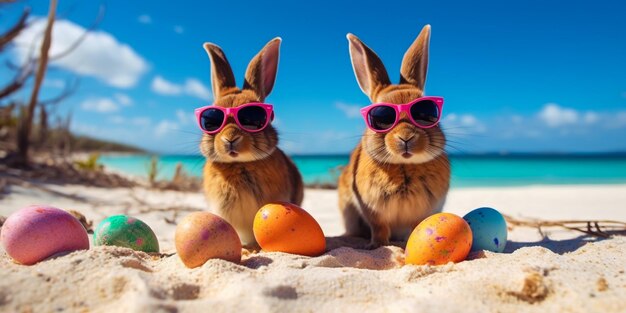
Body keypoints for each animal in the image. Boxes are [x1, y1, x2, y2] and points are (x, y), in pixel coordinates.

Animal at [336, 25, 448, 247]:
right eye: (381, 117)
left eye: (426, 113)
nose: (406, 138)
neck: (404, 165)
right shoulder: (372, 210)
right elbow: (379, 228)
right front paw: (376, 246)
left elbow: (415, 227)